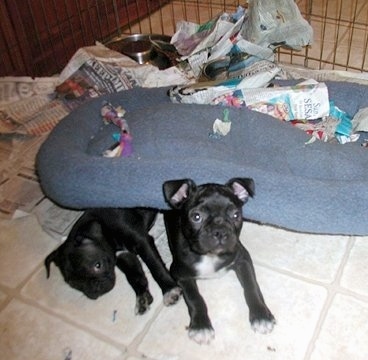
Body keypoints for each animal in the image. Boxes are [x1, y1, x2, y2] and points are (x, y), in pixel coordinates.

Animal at [44, 208, 181, 316]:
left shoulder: (142, 242)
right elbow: (135, 276)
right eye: (74, 284)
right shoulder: (124, 255)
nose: (94, 290)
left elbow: (155, 267)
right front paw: (142, 298)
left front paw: (169, 290)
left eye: (98, 265)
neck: (105, 228)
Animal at [162, 179, 274, 344]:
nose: (220, 231)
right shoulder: (180, 274)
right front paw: (201, 326)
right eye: (196, 217)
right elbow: (195, 298)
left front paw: (261, 315)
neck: (210, 256)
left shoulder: (243, 259)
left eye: (236, 215)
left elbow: (251, 286)